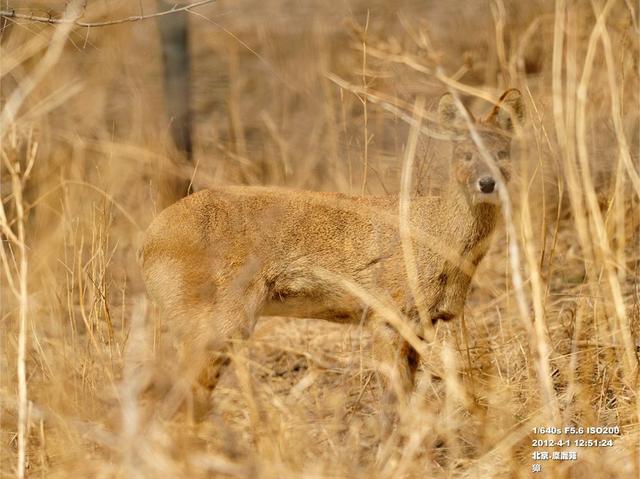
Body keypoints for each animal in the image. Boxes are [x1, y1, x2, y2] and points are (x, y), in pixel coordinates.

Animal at [140, 88, 524, 422]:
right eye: (466, 154)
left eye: (503, 153)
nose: (487, 182)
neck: (440, 239)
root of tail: (147, 244)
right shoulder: (387, 313)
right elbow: (392, 403)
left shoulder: (420, 324)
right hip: (215, 322)